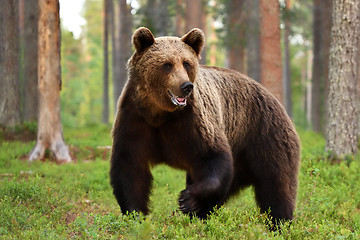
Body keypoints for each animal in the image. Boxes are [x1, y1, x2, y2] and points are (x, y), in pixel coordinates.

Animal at [109, 27, 300, 228]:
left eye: (186, 63)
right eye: (167, 64)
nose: (186, 86)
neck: (160, 113)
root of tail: (276, 100)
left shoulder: (194, 122)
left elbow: (213, 157)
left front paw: (187, 199)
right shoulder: (135, 119)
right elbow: (130, 167)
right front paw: (135, 214)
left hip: (264, 135)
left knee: (276, 185)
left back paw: (280, 223)